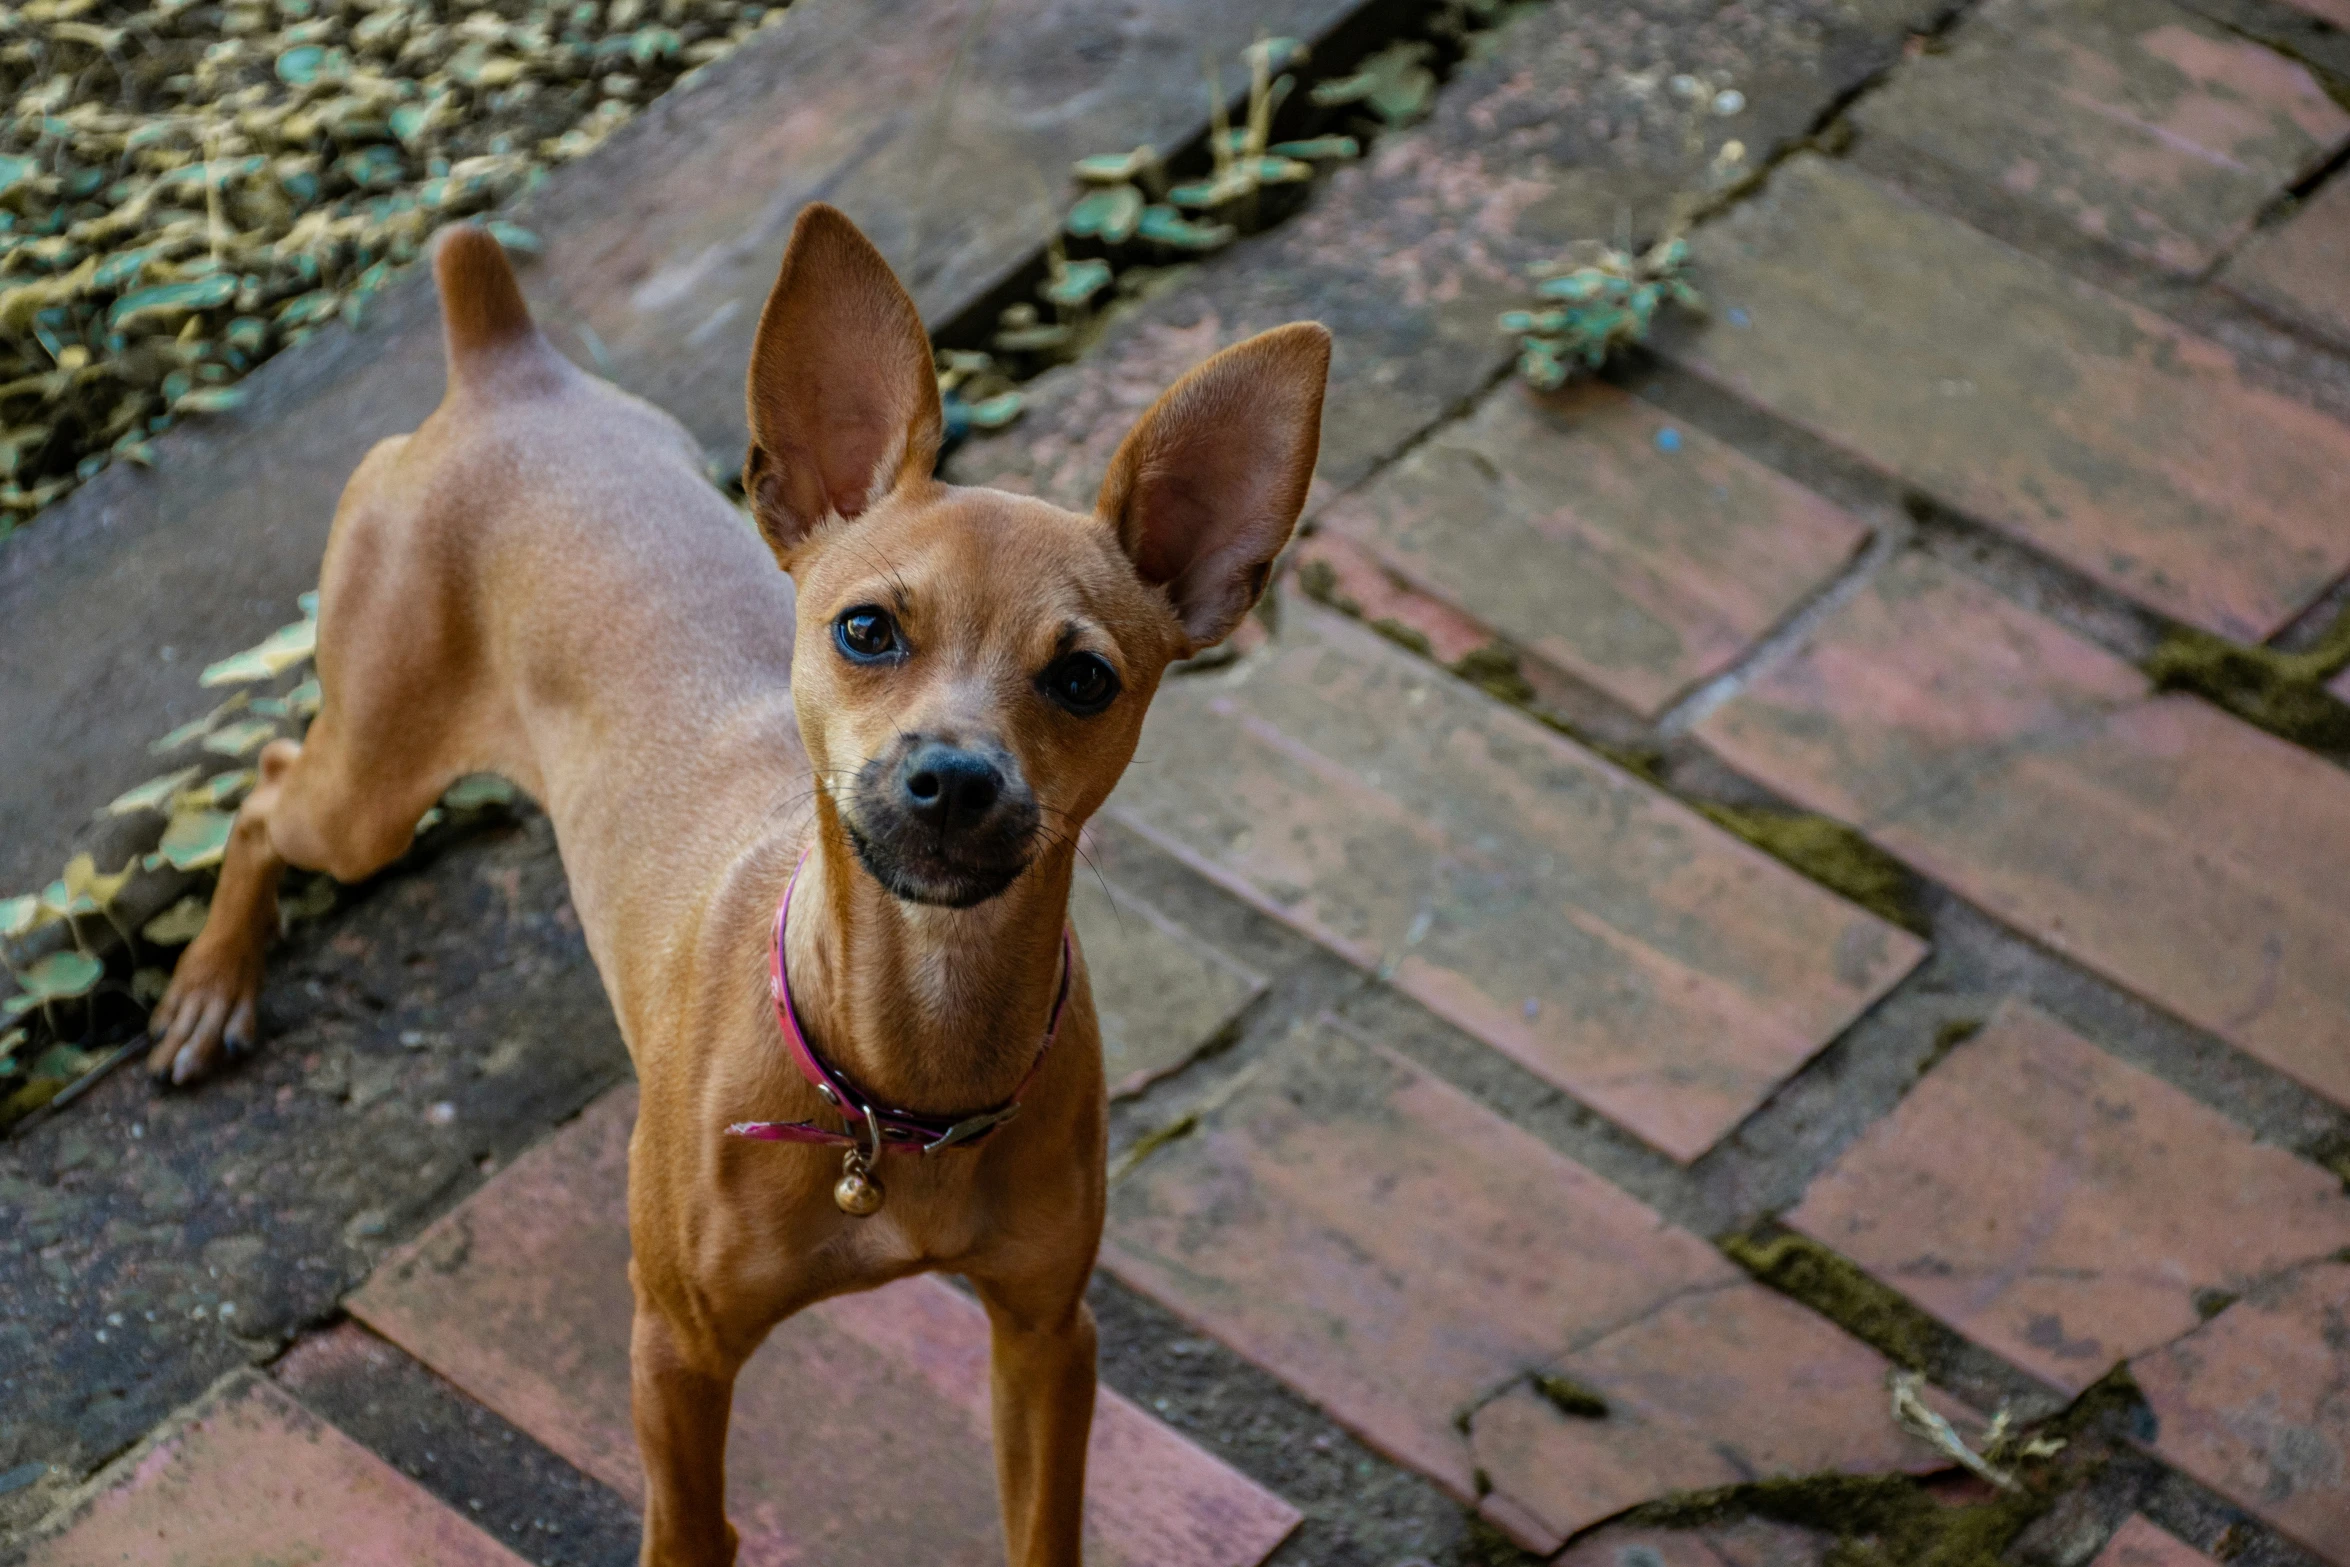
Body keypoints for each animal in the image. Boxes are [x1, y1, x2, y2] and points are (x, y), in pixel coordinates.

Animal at [142, 211, 1325, 1567]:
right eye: (866, 629)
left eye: (1084, 678)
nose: (953, 778)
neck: (901, 1074)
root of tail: (507, 365)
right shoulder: (679, 1350)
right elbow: (691, 1531)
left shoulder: (1046, 1336)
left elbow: (1042, 1529)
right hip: (369, 794)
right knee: (260, 792)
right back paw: (210, 988)